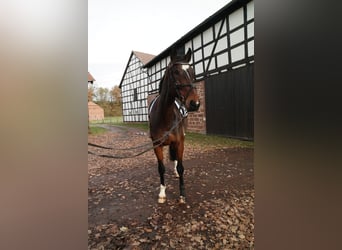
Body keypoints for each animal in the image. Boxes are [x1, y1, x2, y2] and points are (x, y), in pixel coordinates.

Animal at [148, 48, 200, 203]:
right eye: (176, 72)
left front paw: (182, 194)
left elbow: (182, 166)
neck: (165, 116)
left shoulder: (179, 142)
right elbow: (161, 168)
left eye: (192, 71)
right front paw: (162, 193)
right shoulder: (156, 145)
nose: (195, 103)